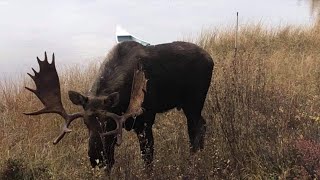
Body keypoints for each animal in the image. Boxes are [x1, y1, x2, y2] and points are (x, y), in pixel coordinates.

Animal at [25, 41, 214, 173]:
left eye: (109, 123)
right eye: (85, 123)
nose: (95, 159)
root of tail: (211, 59)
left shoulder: (145, 120)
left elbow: (147, 157)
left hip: (194, 101)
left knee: (195, 127)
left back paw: (194, 158)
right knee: (203, 123)